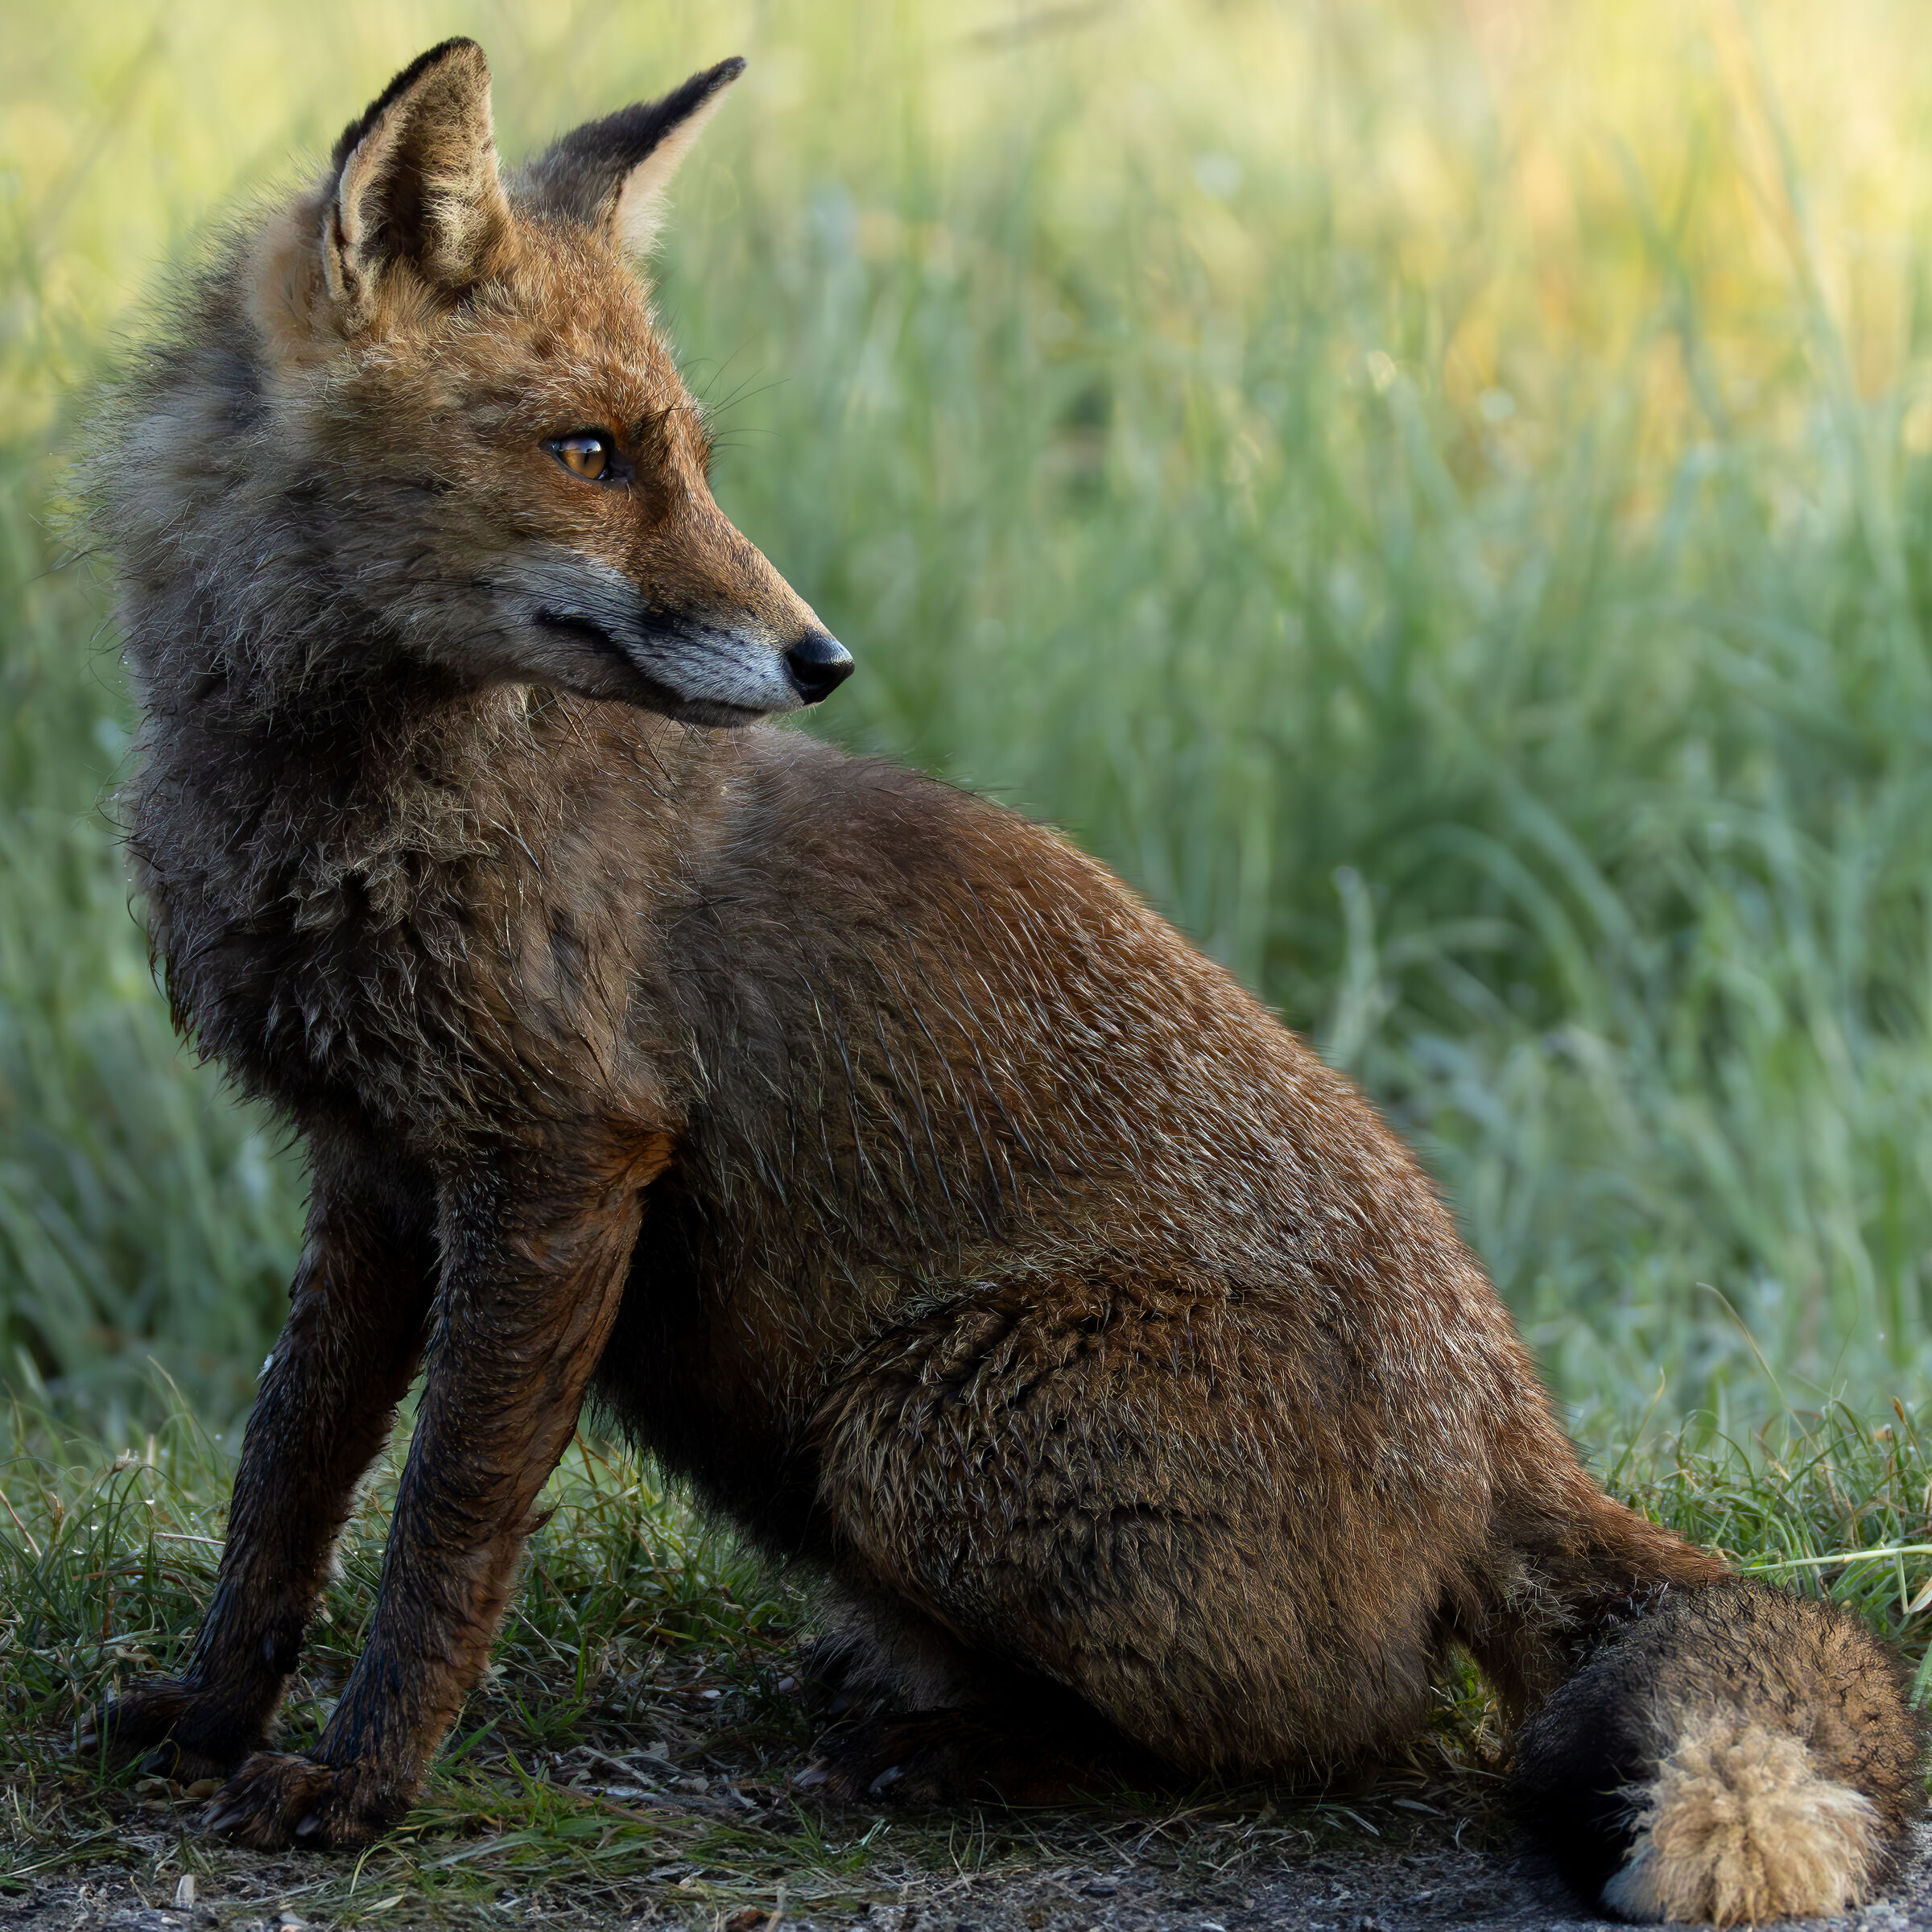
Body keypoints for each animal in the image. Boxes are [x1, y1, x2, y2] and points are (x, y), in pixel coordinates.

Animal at [80, 38, 1922, 1926]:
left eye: (688, 460)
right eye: (589, 454)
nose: (821, 656)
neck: (335, 815)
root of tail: (1506, 1417)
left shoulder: (560, 1158)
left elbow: (443, 1524)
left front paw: (368, 1780)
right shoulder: (374, 1165)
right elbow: (284, 1476)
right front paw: (214, 1716)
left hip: (911, 1430)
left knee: (1344, 1728)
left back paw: (969, 1752)